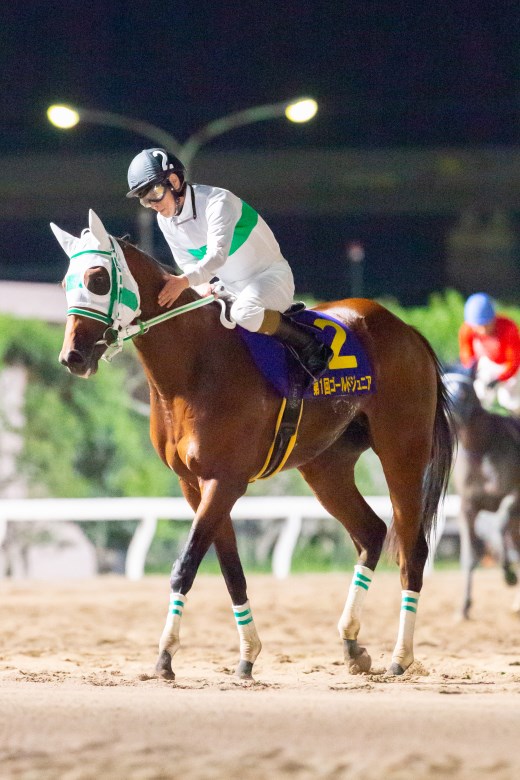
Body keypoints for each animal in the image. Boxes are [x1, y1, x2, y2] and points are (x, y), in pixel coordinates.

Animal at [51, 210, 454, 681]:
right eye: (65, 281)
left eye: (97, 278)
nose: (73, 357)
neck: (195, 365)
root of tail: (408, 330)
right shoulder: (195, 484)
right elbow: (230, 570)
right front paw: (247, 654)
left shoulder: (224, 481)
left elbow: (185, 565)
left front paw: (166, 655)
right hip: (325, 465)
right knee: (371, 532)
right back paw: (353, 644)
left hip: (402, 451)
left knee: (411, 547)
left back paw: (401, 656)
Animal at [444, 370, 520, 618]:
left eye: (465, 390)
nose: (451, 411)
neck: (481, 447)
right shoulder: (468, 506)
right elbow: (469, 557)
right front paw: (463, 608)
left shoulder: (514, 495)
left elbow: (499, 525)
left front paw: (509, 575)